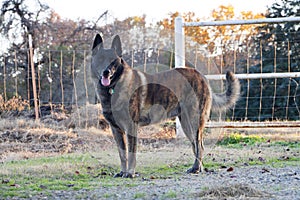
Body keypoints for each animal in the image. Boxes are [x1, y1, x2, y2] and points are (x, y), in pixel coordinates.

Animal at [90, 34, 240, 178]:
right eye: (100, 59)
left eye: (113, 61)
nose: (106, 72)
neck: (113, 88)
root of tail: (201, 76)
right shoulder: (116, 130)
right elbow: (122, 155)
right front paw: (122, 172)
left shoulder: (131, 128)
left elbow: (131, 154)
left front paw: (130, 173)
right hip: (186, 125)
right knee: (196, 146)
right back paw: (197, 168)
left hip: (194, 122)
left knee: (199, 146)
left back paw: (196, 168)